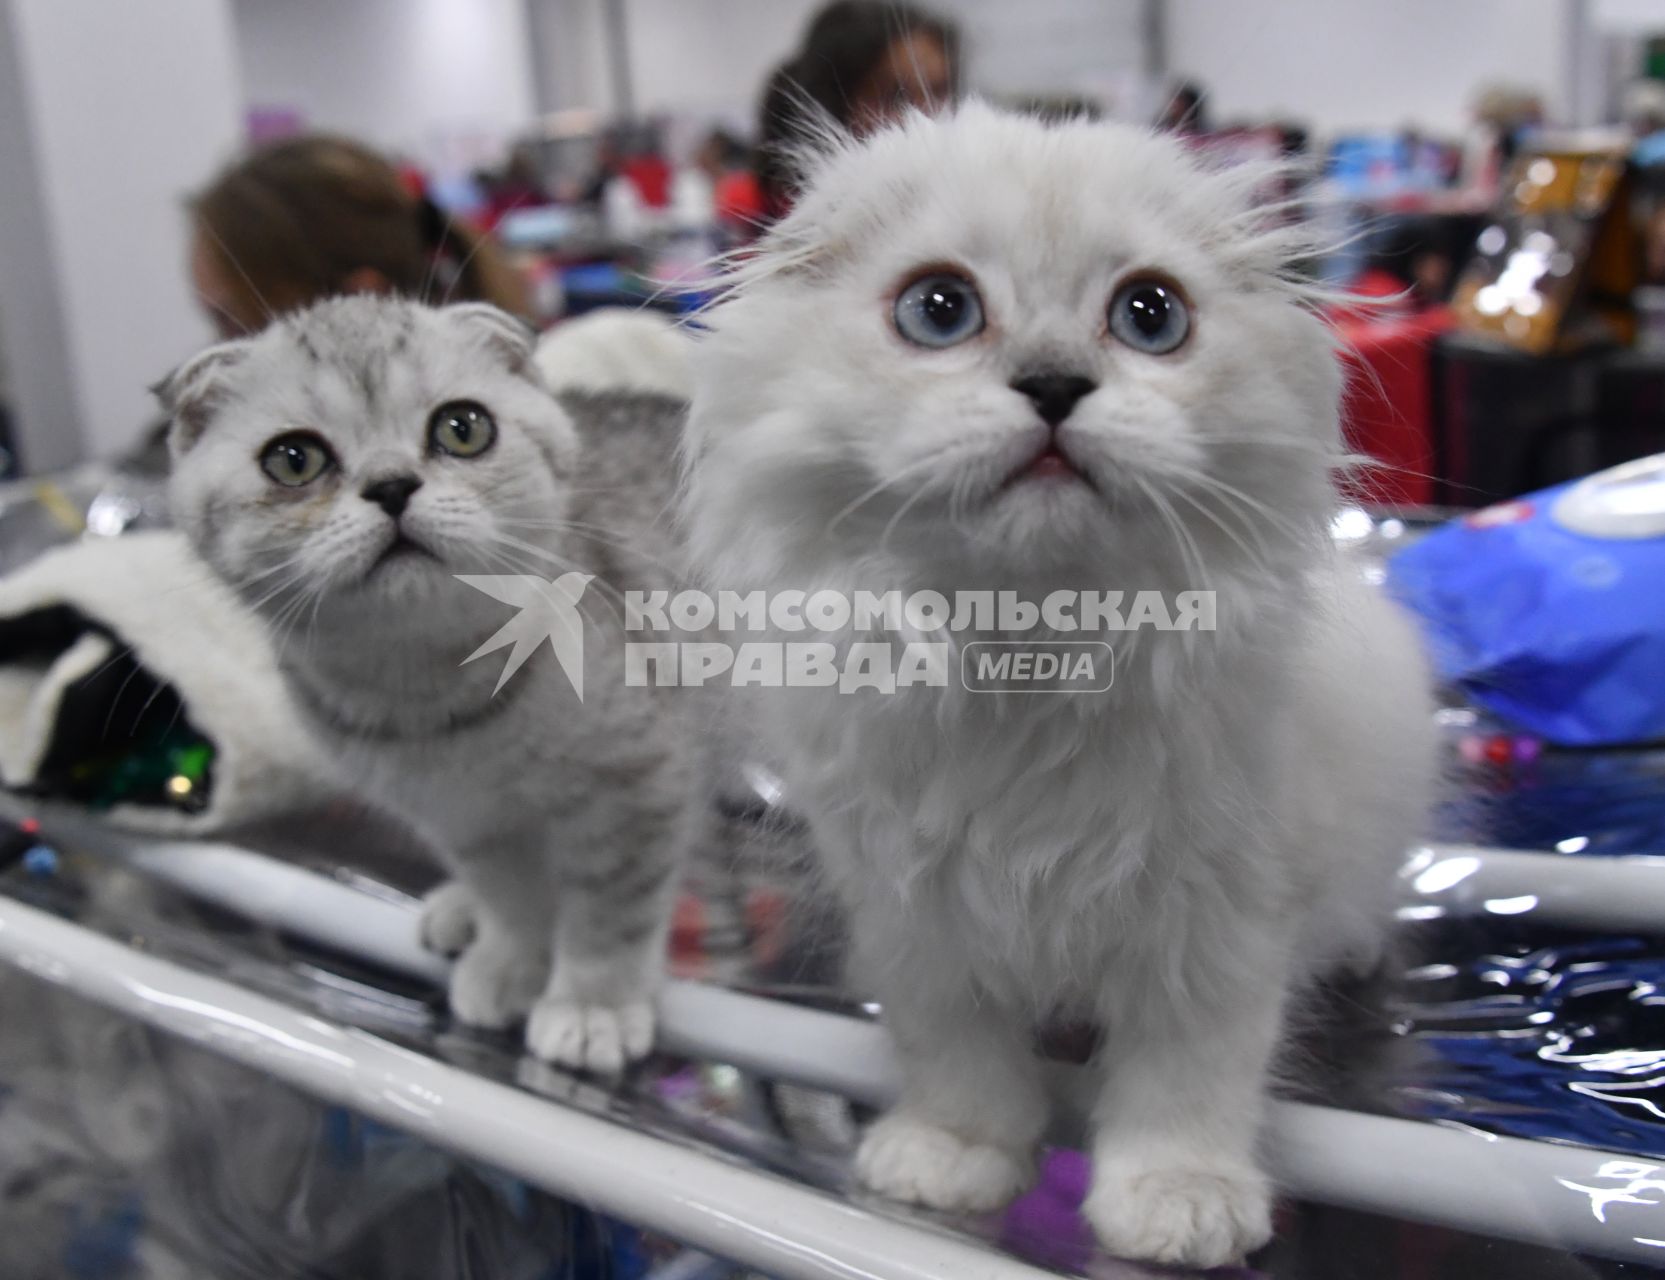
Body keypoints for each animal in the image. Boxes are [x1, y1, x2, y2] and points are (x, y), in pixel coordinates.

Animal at [162, 296, 695, 1065]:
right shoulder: (467, 819)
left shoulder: (636, 783)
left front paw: (592, 1004)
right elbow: (514, 897)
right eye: (293, 460)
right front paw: (512, 963)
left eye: (462, 427)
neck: (429, 690)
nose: (390, 487)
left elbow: (608, 908)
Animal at [682, 109, 1438, 1265]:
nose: (1051, 384)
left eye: (1149, 316)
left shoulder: (1217, 923)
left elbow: (1187, 1079)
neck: (1029, 647)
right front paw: (948, 1161)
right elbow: (959, 1064)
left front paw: (1177, 1202)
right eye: (939, 309)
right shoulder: (916, 918)